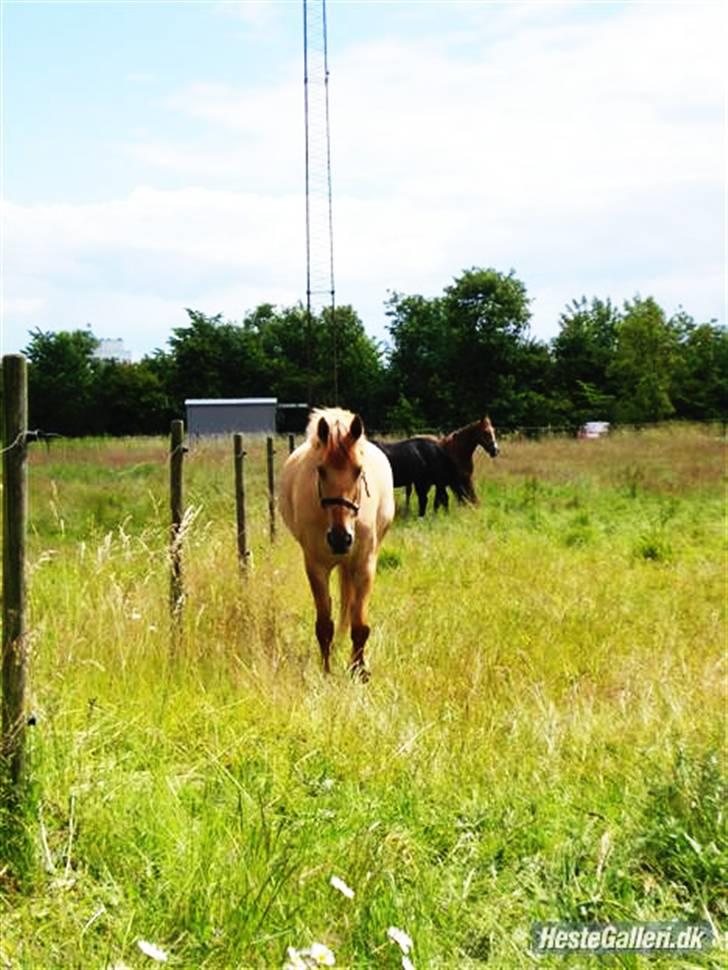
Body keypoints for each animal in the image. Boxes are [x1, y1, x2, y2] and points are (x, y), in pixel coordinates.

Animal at [278, 404, 396, 676]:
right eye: (321, 470)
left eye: (359, 470)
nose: (341, 539)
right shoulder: (316, 567)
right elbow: (324, 625)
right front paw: (326, 671)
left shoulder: (364, 564)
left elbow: (360, 624)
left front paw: (359, 670)